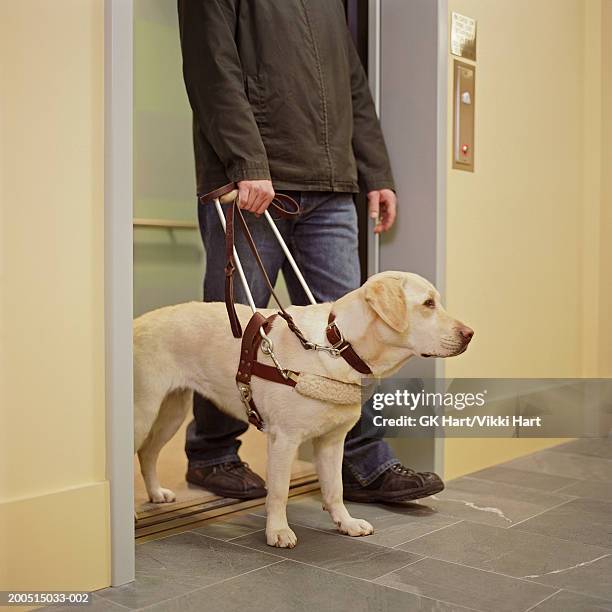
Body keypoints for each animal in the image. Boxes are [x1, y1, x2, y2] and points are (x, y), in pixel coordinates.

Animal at [131, 270, 470, 548]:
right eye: (428, 303)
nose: (470, 334)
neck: (339, 346)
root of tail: (137, 321)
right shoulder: (284, 439)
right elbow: (279, 492)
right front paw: (278, 532)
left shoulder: (332, 441)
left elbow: (335, 489)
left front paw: (346, 523)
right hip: (143, 412)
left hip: (172, 411)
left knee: (147, 453)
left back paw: (156, 493)